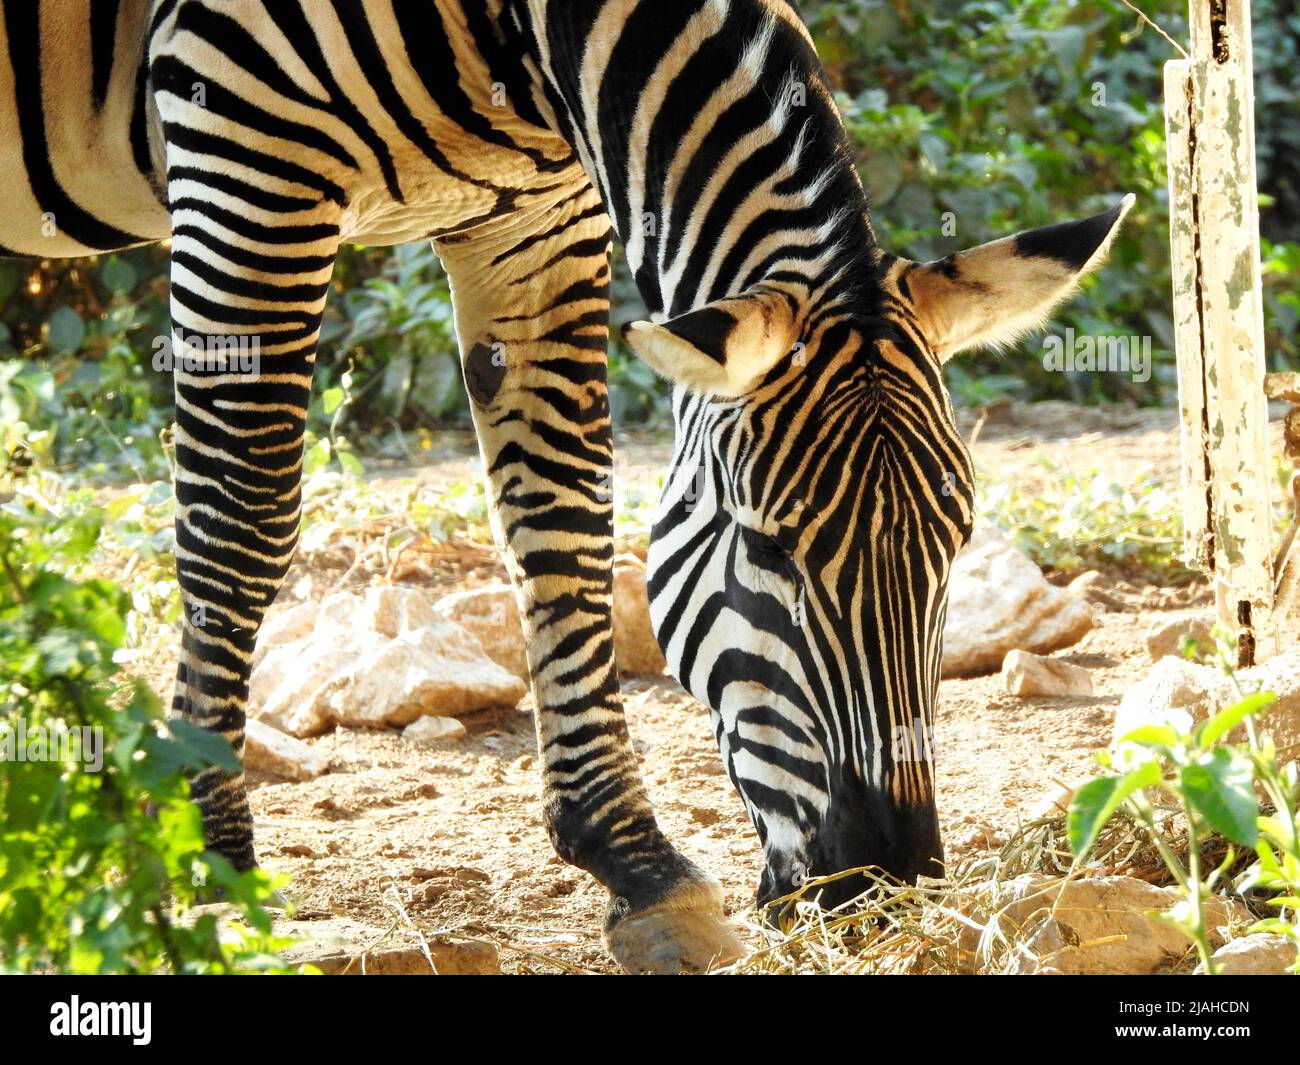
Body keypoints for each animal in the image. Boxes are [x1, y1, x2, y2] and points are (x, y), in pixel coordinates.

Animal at [2, 0, 1128, 972]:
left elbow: (562, 515)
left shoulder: (537, 215)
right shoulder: (246, 133)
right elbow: (243, 510)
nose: (887, 886)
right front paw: (215, 862)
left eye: (955, 546)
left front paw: (635, 863)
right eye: (769, 546)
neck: (516, 36)